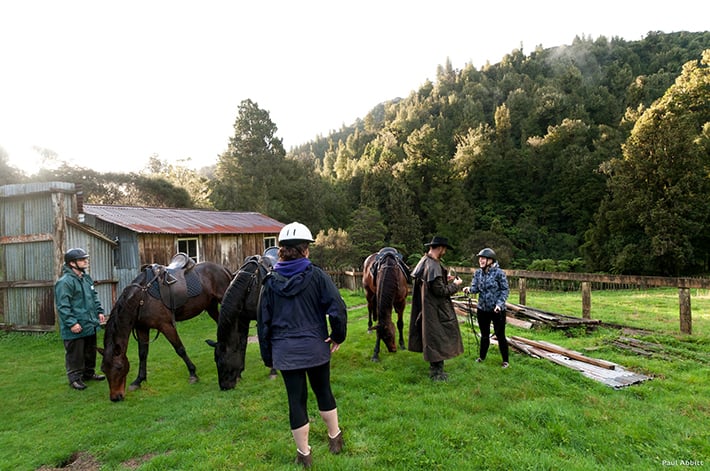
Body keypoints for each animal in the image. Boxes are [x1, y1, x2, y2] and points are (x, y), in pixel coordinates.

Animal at [98, 262, 232, 402]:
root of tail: (222, 268)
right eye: (103, 369)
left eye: (119, 367)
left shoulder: (166, 326)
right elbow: (143, 354)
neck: (141, 298)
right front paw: (138, 380)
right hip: (211, 307)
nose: (115, 397)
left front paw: (193, 373)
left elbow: (180, 349)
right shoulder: (142, 328)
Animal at [206, 254, 278, 390]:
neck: (251, 284)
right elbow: (242, 344)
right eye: (215, 361)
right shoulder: (242, 320)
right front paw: (239, 374)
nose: (224, 387)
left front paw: (273, 371)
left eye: (223, 362)